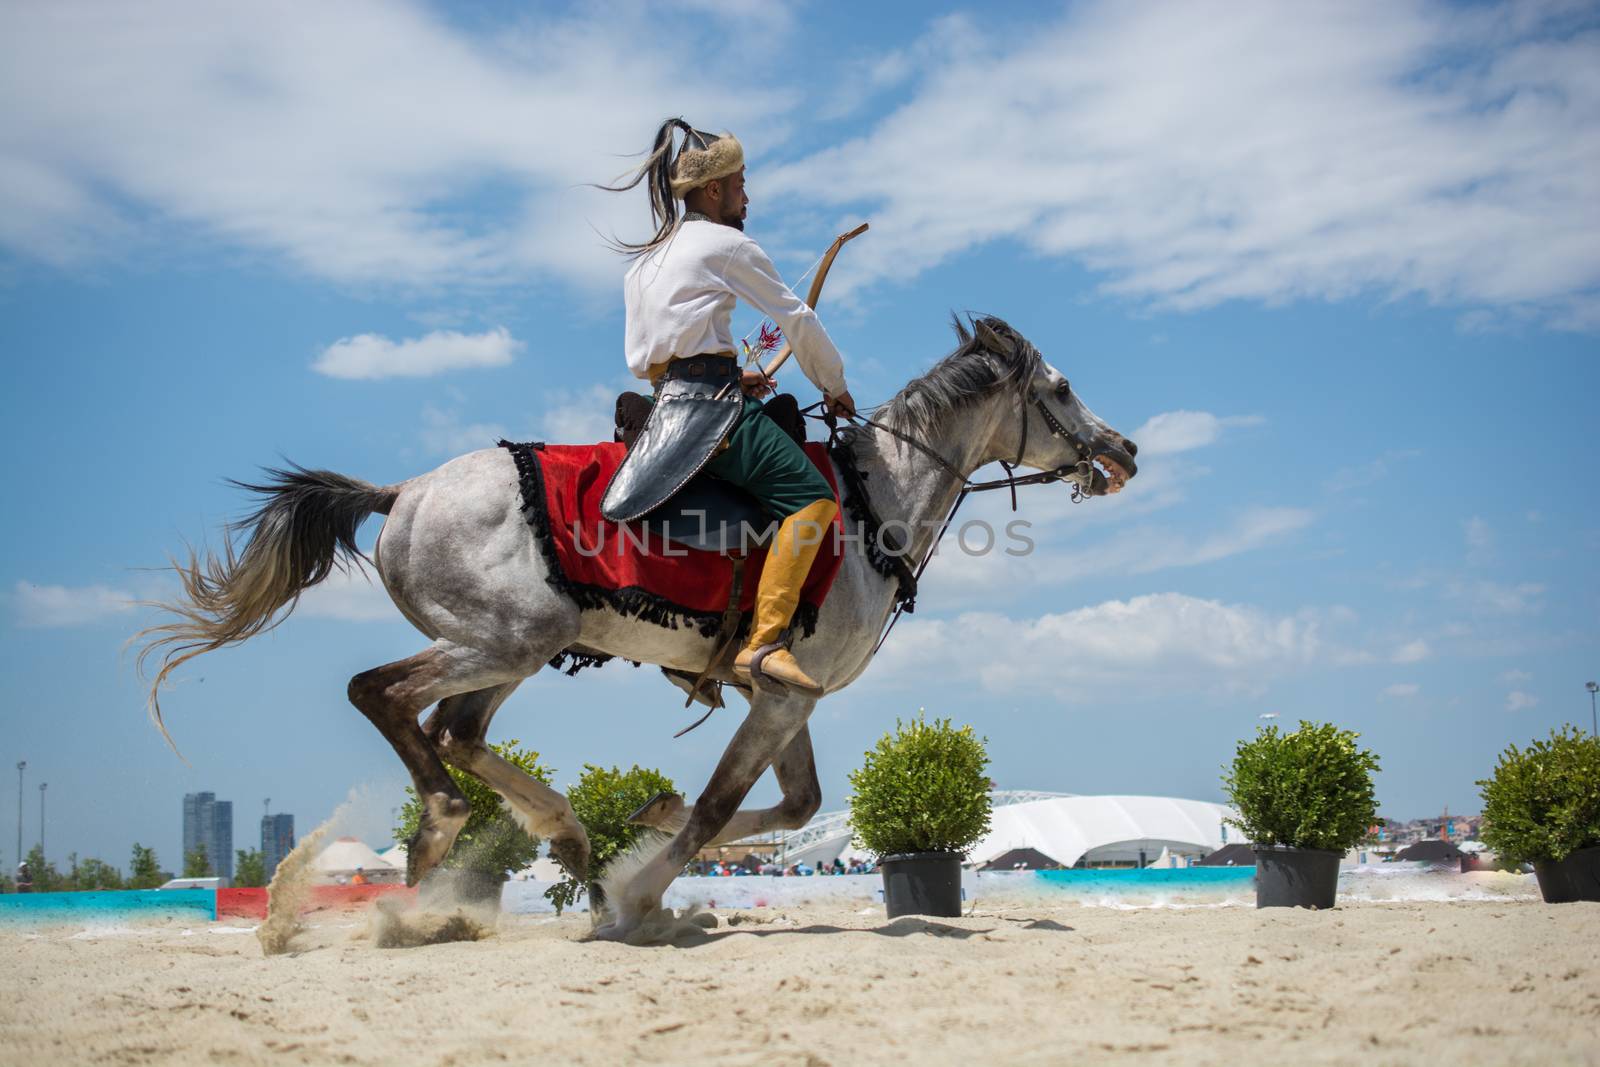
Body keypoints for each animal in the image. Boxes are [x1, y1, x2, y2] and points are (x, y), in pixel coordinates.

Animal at [137, 313, 1139, 940]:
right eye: (1061, 386)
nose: (1123, 449)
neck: (868, 504)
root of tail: (405, 493)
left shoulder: (779, 692)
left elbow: (794, 807)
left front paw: (645, 825)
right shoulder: (779, 695)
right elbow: (723, 807)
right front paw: (638, 894)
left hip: (511, 646)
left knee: (454, 731)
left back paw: (550, 832)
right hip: (509, 640)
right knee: (382, 694)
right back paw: (455, 826)